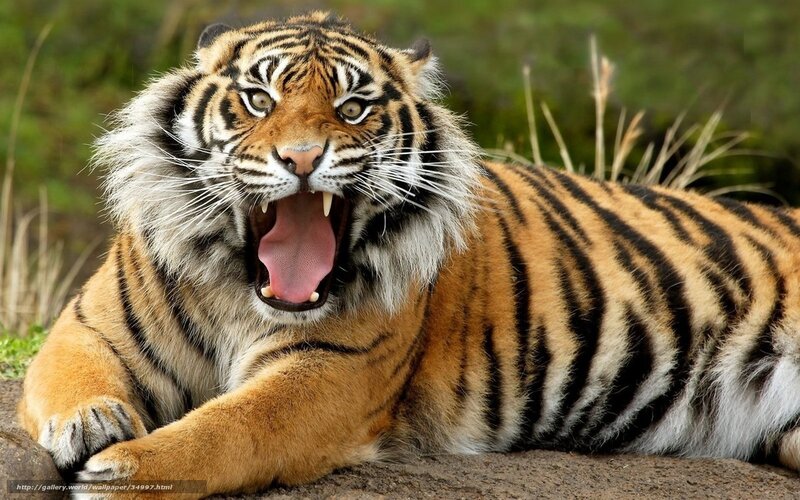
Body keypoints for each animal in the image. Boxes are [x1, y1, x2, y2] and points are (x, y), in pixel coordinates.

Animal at [17, 10, 800, 498]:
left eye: (353, 108)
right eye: (259, 99)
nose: (303, 158)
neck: (238, 288)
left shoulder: (328, 373)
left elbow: (226, 429)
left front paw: (126, 471)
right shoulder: (87, 325)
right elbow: (68, 377)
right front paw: (91, 424)